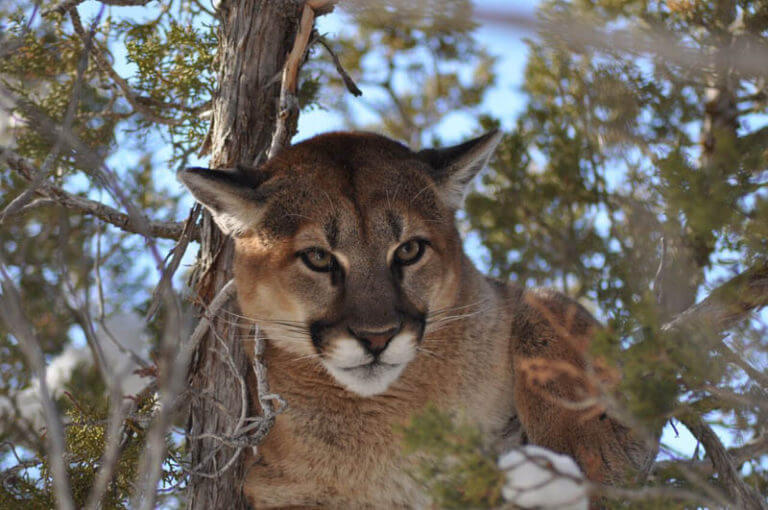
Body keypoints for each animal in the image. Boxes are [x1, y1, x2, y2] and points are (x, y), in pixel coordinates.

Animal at [183, 132, 652, 510]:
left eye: (409, 250)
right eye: (317, 257)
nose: (377, 337)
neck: (391, 415)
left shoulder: (503, 300)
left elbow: (548, 319)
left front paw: (590, 449)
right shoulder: (276, 489)